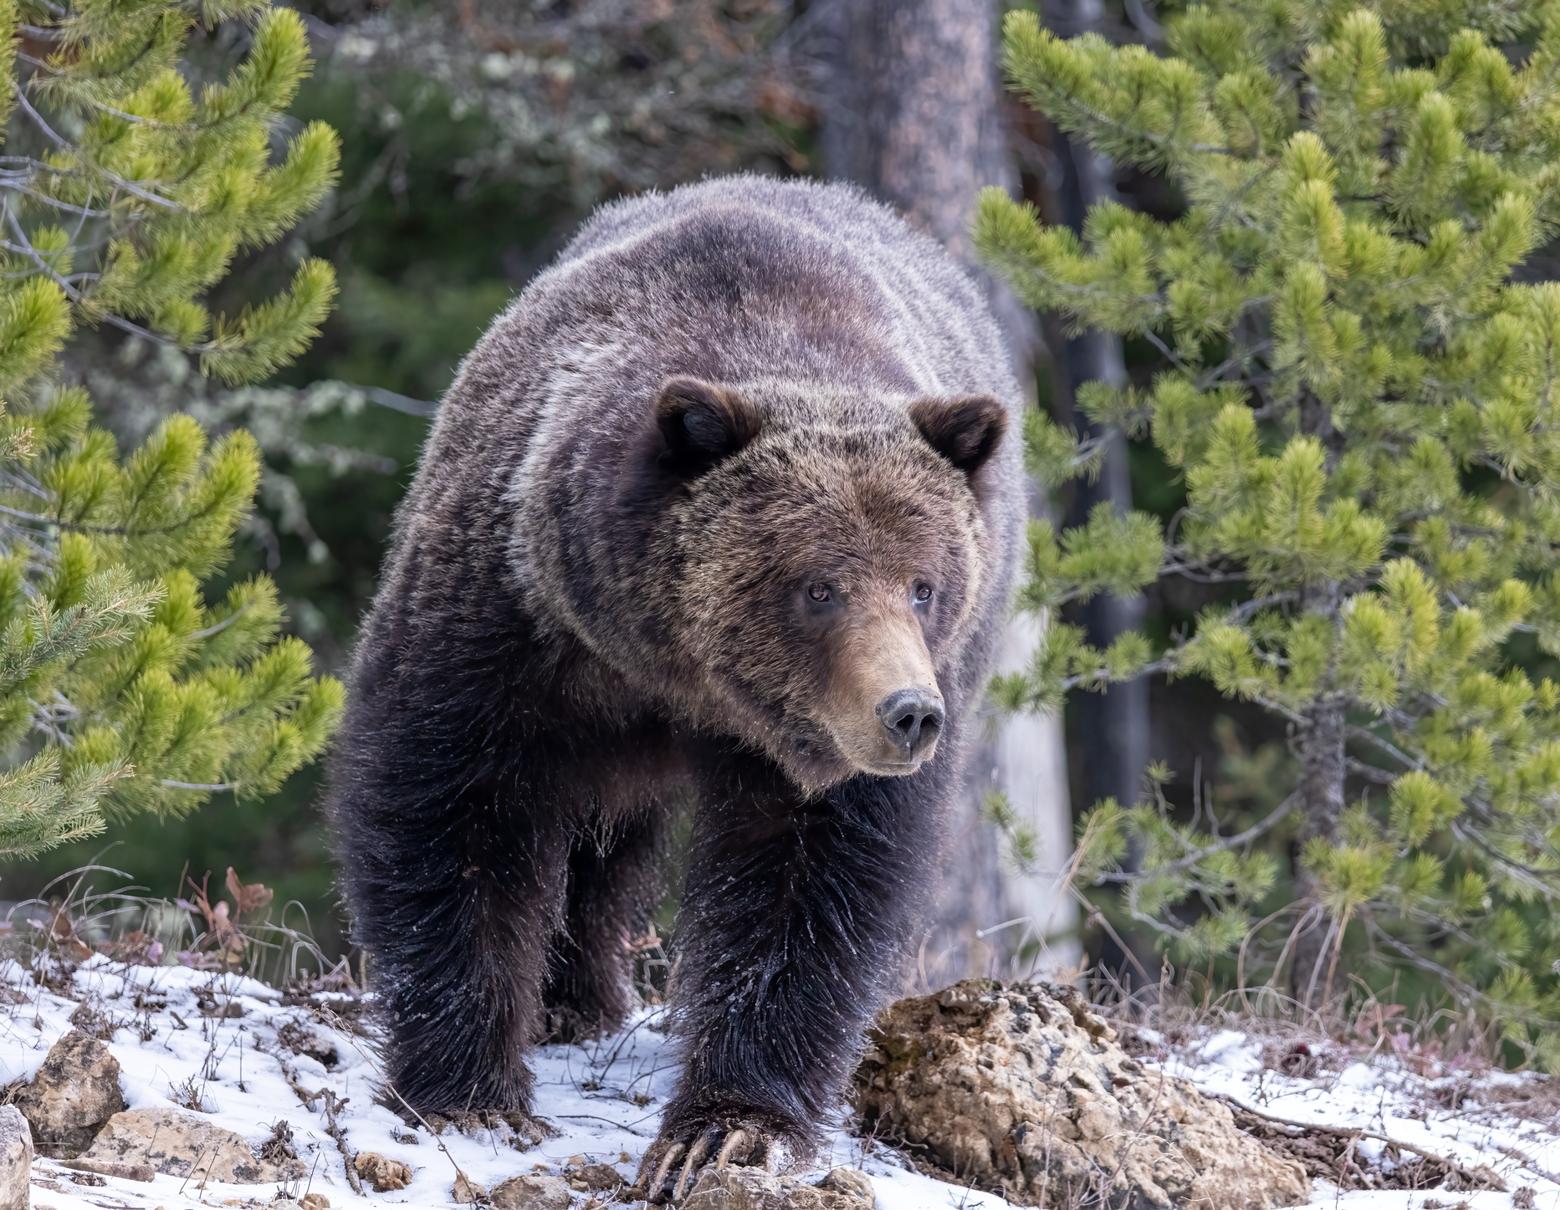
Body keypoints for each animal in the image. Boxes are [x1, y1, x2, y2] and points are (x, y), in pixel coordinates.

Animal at [329, 174, 1023, 1197]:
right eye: (820, 586)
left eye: (924, 584)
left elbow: (806, 890)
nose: (909, 714)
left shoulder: (814, 750)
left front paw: (725, 1131)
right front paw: (472, 1090)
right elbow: (453, 807)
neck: (675, 669)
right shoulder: (507, 622)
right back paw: (571, 1002)